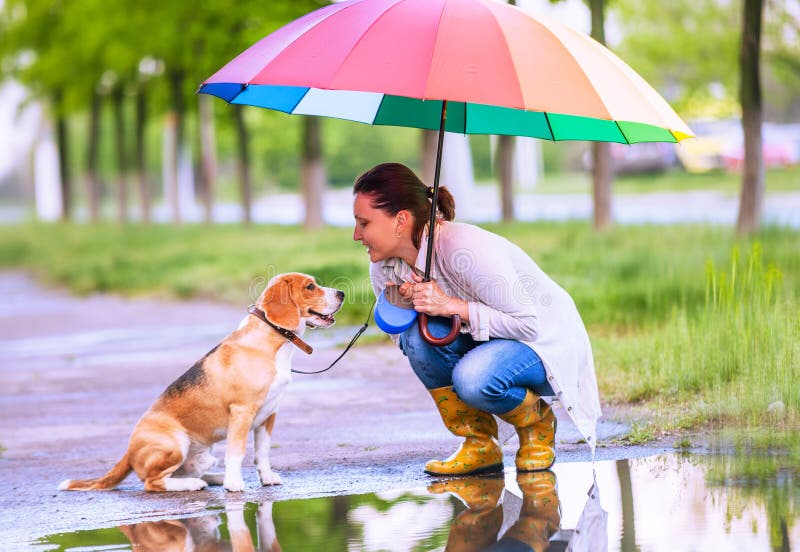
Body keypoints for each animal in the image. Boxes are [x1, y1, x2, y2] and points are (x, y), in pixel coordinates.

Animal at [56, 272, 344, 492]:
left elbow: (262, 453)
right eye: (310, 286)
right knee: (153, 482)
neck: (271, 341)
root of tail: (128, 451)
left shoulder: (269, 415)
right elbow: (237, 453)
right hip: (175, 443)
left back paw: (211, 478)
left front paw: (266, 478)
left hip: (203, 457)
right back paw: (193, 485)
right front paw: (234, 485)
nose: (341, 293)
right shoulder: (242, 412)